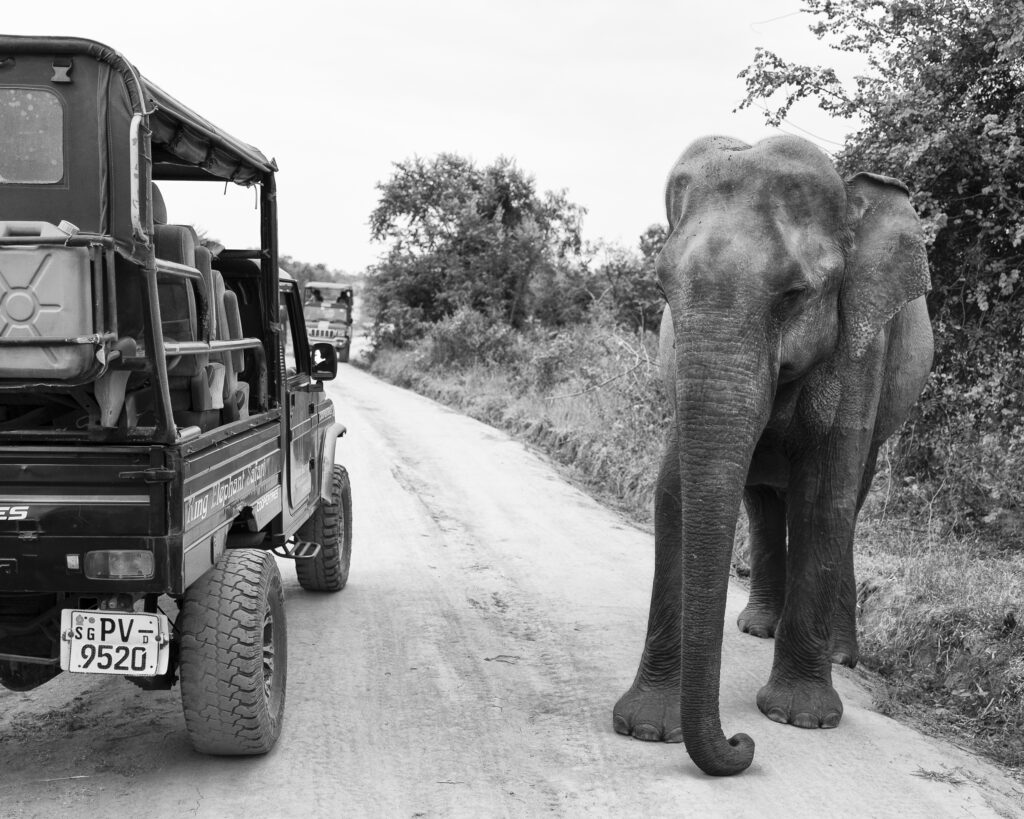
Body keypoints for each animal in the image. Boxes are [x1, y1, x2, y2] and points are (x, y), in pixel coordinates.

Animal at [612, 134, 933, 776]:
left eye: (793, 295)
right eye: (662, 291)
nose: (742, 744)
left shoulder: (864, 342)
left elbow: (824, 497)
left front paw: (800, 719)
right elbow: (674, 493)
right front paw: (646, 729)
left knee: (848, 501)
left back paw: (839, 654)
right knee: (762, 500)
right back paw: (757, 626)